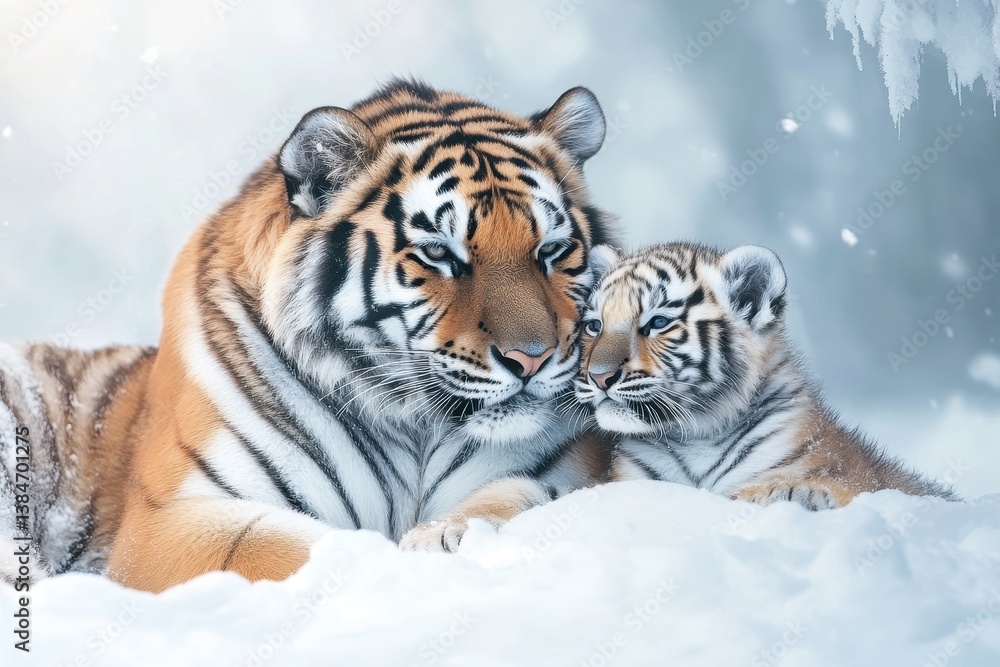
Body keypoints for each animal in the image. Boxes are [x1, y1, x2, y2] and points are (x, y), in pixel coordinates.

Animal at [0, 79, 616, 591]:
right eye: (440, 254)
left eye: (552, 250)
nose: (531, 359)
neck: (413, 425)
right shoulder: (170, 518)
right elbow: (305, 551)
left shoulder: (570, 470)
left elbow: (515, 496)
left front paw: (444, 537)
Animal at [401, 241, 954, 552]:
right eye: (594, 325)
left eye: (657, 323)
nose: (598, 376)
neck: (695, 435)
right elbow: (513, 491)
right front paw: (435, 533)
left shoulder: (858, 474)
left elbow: (842, 485)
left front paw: (775, 494)